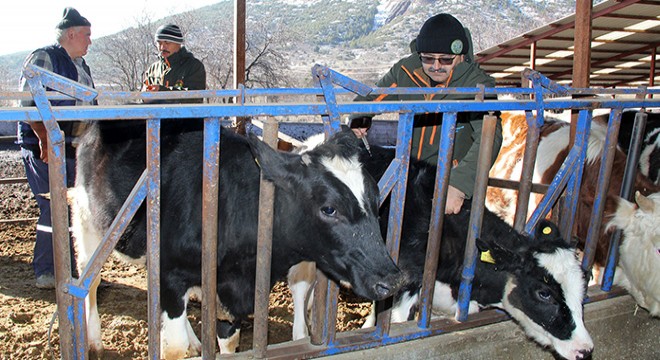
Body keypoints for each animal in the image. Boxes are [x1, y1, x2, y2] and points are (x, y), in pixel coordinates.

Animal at [69, 121, 404, 360]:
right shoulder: (172, 274)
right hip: (87, 222)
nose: (392, 279)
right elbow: (173, 347)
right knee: (91, 280)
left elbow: (228, 342)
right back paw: (94, 342)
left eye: (376, 199)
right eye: (329, 208)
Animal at [288, 140, 592, 360]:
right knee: (301, 285)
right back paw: (302, 335)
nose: (585, 349)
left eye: (584, 283)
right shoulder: (407, 280)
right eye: (544, 293)